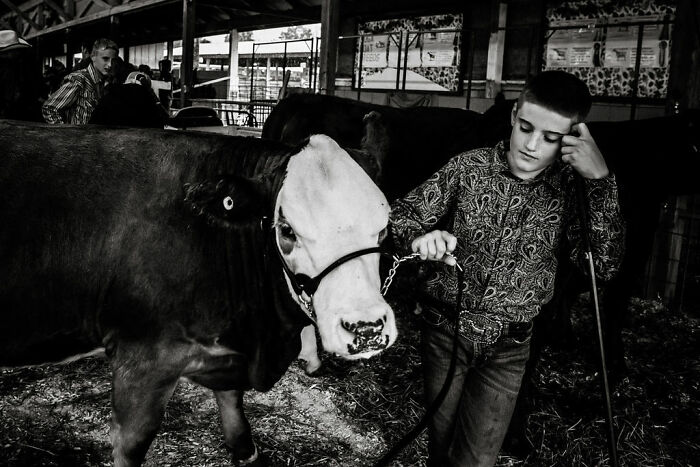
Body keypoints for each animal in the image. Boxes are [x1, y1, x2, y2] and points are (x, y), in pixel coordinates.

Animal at [0, 120, 397, 466]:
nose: (367, 329)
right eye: (287, 229)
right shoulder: (145, 359)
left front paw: (245, 451)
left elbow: (233, 404)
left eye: (384, 228)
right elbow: (131, 444)